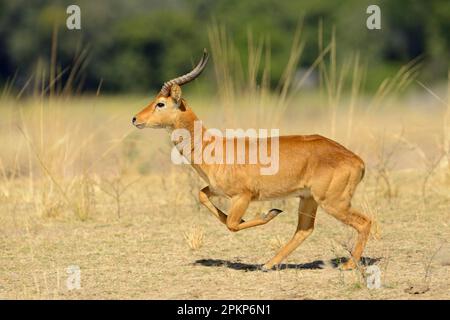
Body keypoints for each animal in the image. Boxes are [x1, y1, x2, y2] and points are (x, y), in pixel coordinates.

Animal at [133, 49, 372, 270]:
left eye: (160, 103)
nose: (135, 119)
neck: (212, 146)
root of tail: (358, 160)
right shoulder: (217, 190)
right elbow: (203, 197)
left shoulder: (243, 196)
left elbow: (232, 224)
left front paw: (269, 213)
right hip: (308, 199)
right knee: (305, 230)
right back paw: (268, 263)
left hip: (332, 202)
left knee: (365, 222)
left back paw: (348, 265)